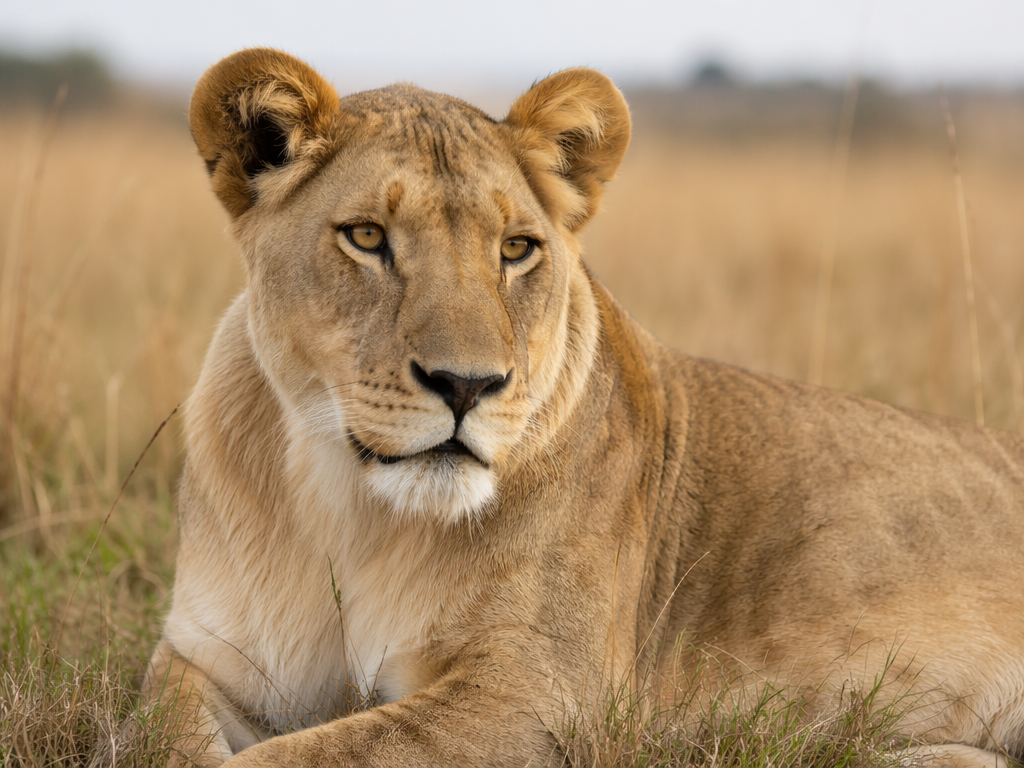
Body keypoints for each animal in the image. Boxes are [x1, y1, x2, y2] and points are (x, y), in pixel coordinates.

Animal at [136, 48, 1024, 768]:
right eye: (365, 237)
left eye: (516, 249)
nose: (467, 386)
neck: (346, 508)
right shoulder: (207, 658)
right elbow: (163, 738)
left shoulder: (543, 697)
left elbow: (305, 755)